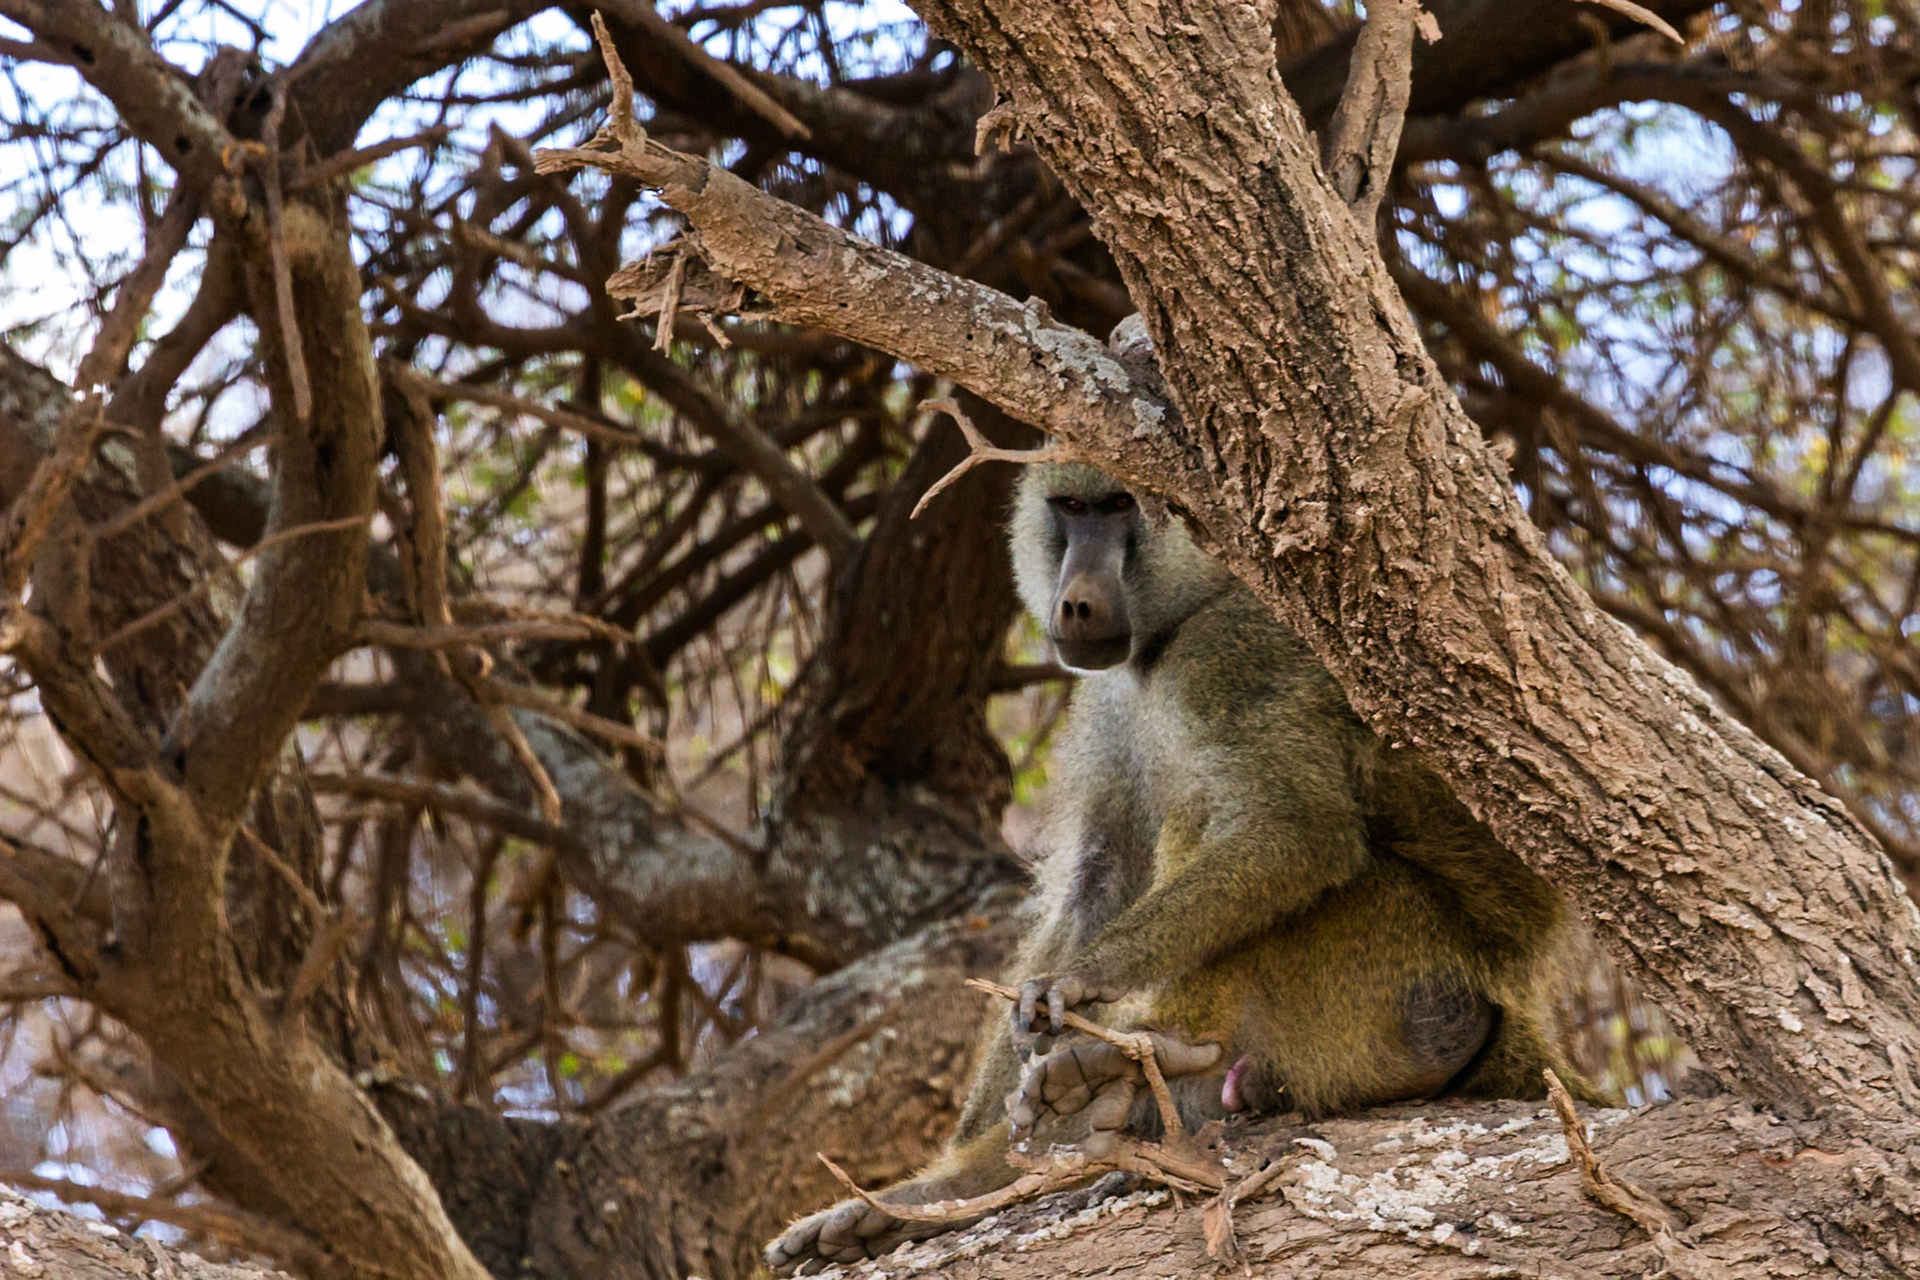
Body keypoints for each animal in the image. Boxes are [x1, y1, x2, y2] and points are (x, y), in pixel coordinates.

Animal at [765, 461, 1597, 1275]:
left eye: (1118, 507)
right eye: (1071, 508)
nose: (1076, 602)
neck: (1186, 615)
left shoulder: (1236, 654)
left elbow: (1295, 831)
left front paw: (1081, 986)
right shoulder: (1108, 701)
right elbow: (1096, 882)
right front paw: (954, 1179)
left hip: (1396, 950)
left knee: (1217, 833)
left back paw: (1142, 1064)